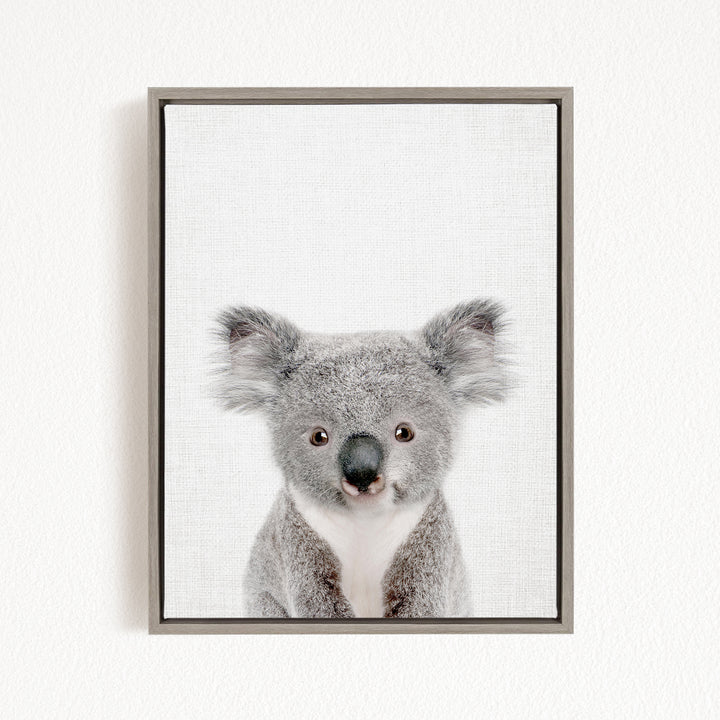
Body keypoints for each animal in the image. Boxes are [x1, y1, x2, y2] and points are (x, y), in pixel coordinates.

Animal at [216, 299, 508, 618]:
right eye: (319, 437)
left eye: (404, 433)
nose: (362, 474)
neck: (365, 521)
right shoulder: (297, 541)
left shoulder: (429, 543)